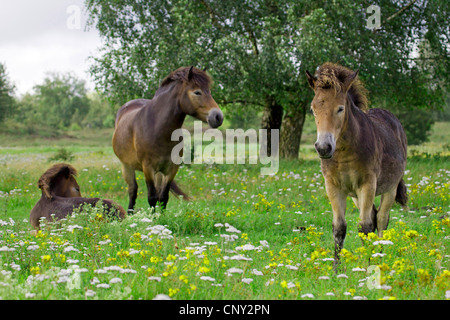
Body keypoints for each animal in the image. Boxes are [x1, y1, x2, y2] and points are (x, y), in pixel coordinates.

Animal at [112, 65, 223, 212]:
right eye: (197, 92)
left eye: (209, 91)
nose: (218, 117)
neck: (158, 129)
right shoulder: (148, 168)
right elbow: (152, 198)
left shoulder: (172, 168)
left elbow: (163, 198)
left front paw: (161, 218)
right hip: (127, 166)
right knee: (132, 191)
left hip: (159, 172)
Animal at [306, 62, 408, 262]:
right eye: (313, 109)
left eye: (340, 108)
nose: (323, 148)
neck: (345, 154)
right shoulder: (333, 186)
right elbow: (339, 227)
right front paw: (337, 268)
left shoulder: (367, 184)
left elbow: (364, 226)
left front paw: (367, 263)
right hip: (354, 195)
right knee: (375, 217)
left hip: (389, 188)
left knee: (382, 219)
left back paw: (379, 254)